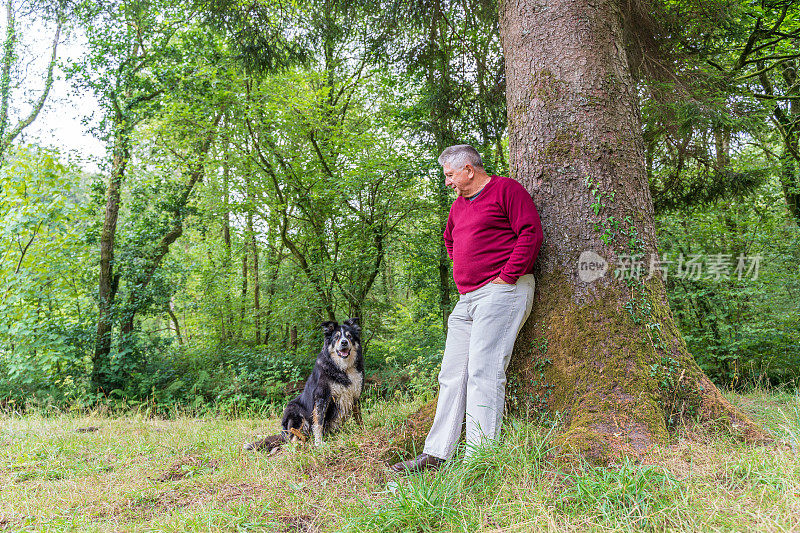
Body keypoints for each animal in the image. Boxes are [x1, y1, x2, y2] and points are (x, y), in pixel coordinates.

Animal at [244, 318, 366, 450]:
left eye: (349, 336)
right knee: (292, 438)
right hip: (294, 411)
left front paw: (362, 431)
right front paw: (319, 443)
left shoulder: (354, 395)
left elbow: (359, 417)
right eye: (336, 337)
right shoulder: (322, 396)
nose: (344, 342)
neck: (342, 367)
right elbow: (318, 422)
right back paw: (301, 443)